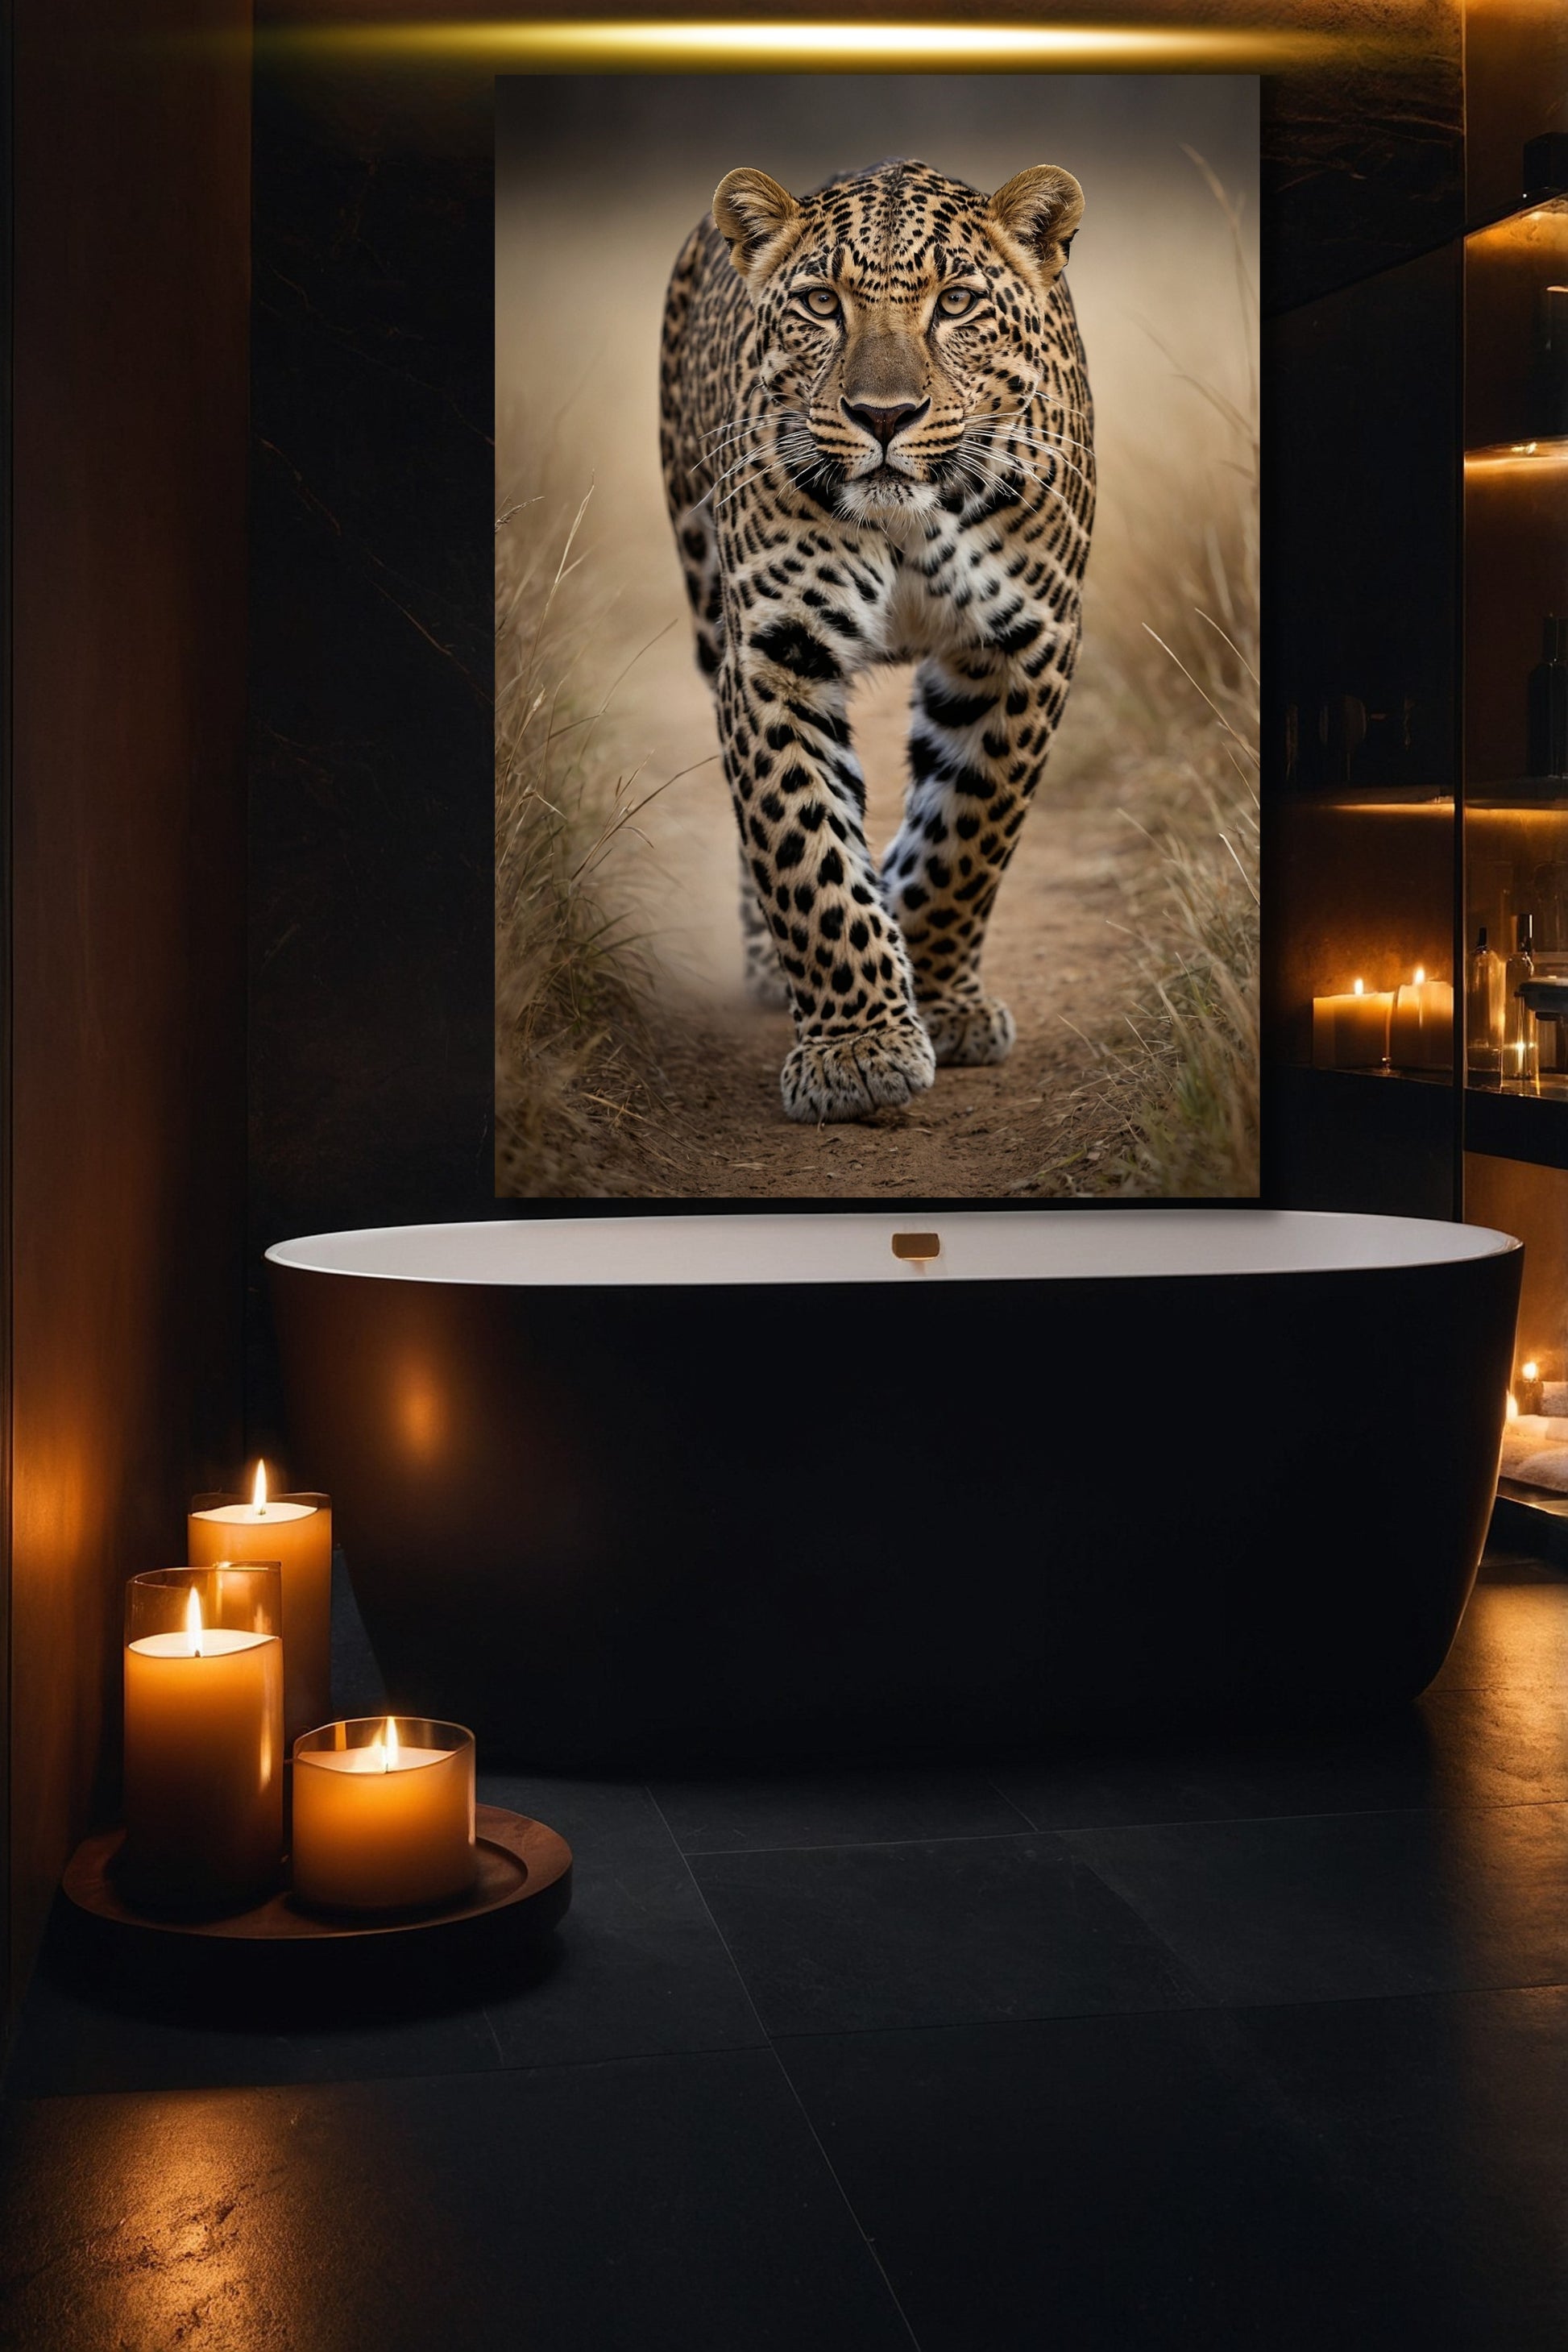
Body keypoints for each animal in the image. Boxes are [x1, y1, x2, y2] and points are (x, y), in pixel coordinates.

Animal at [660, 154, 1094, 1123]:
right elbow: (801, 847)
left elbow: (968, 832)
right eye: (822, 303)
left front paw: (935, 997)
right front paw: (857, 1051)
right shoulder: (773, 653)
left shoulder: (1022, 644)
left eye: (956, 302)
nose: (883, 415)